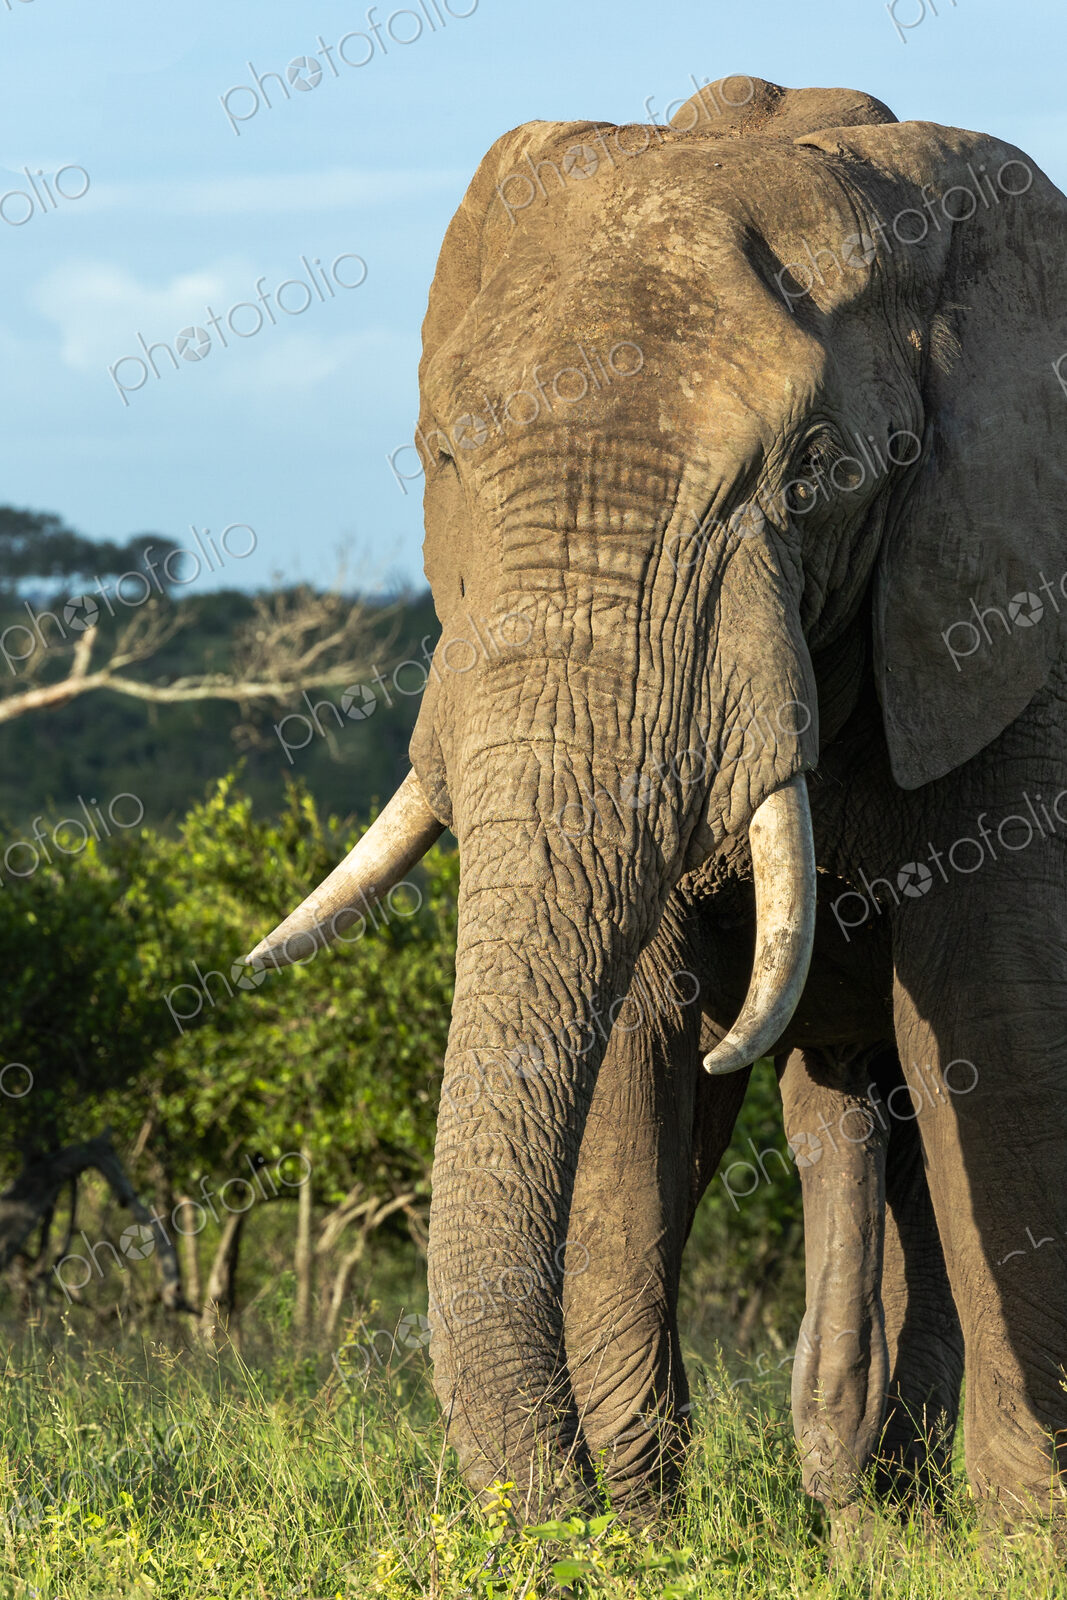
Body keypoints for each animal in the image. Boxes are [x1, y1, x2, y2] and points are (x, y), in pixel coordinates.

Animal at [247, 76, 1067, 1535]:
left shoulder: (1005, 613)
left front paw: (1024, 1542)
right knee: (842, 1119)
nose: (554, 1499)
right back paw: (858, 1502)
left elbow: (993, 1014)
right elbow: (638, 1033)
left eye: (813, 473)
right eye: (440, 456)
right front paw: (631, 1534)